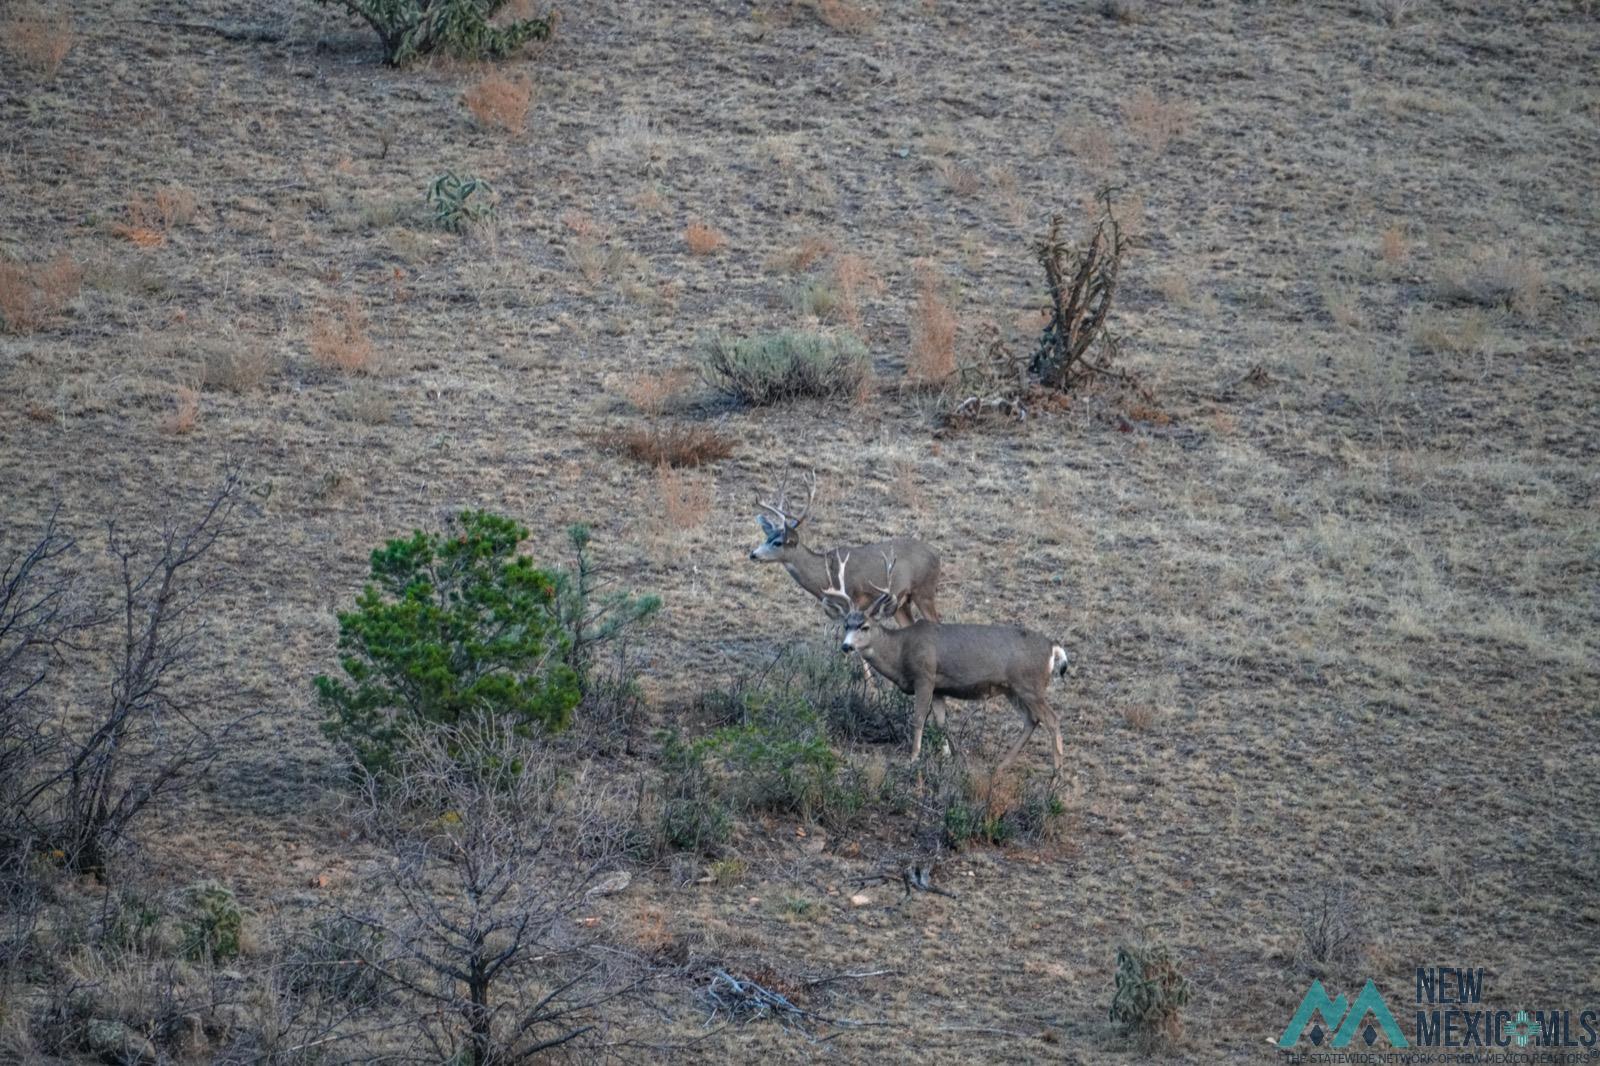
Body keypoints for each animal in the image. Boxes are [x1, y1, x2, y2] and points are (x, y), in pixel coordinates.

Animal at [748, 470, 934, 624]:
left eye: (777, 543)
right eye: (767, 537)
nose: (753, 554)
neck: (826, 576)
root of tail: (936, 554)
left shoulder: (856, 599)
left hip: (925, 591)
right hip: (901, 603)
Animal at [819, 550, 1068, 768]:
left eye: (865, 626)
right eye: (846, 625)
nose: (846, 646)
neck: (900, 651)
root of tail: (1053, 647)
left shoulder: (925, 675)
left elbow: (919, 718)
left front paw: (914, 757)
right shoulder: (940, 687)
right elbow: (940, 722)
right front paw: (946, 756)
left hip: (1029, 684)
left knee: (1052, 719)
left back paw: (1056, 774)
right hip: (1013, 689)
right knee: (1031, 720)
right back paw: (1002, 765)